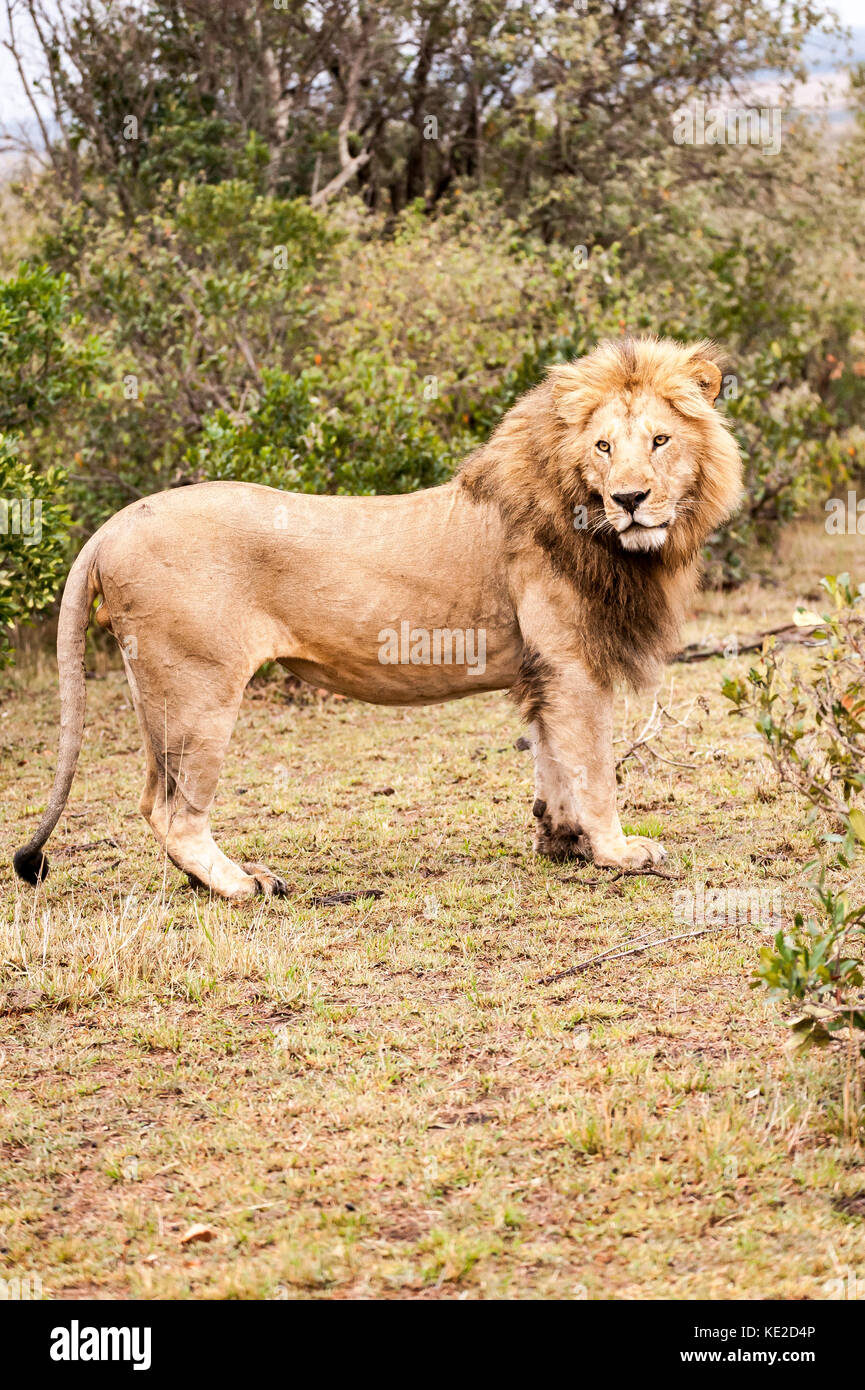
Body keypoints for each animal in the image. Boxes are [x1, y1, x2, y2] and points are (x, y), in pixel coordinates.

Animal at [13, 336, 745, 900]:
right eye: (602, 447)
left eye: (659, 440)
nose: (629, 499)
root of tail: (111, 526)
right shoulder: (571, 663)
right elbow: (593, 767)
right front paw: (618, 852)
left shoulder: (546, 671)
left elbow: (552, 760)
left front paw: (559, 839)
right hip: (199, 689)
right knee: (174, 811)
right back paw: (242, 883)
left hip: (155, 693)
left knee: (148, 798)